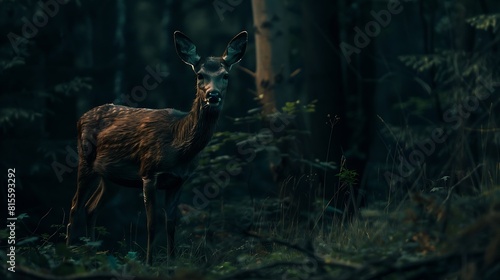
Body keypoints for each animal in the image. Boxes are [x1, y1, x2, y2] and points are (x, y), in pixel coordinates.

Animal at [65, 31, 247, 264]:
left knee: (91, 207)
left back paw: (92, 255)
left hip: (112, 177)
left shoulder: (179, 180)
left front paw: (171, 262)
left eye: (225, 75)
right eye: (200, 75)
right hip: (85, 159)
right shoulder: (149, 173)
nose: (212, 95)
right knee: (74, 206)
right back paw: (68, 254)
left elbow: (171, 225)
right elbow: (152, 224)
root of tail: (81, 118)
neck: (179, 145)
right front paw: (149, 263)